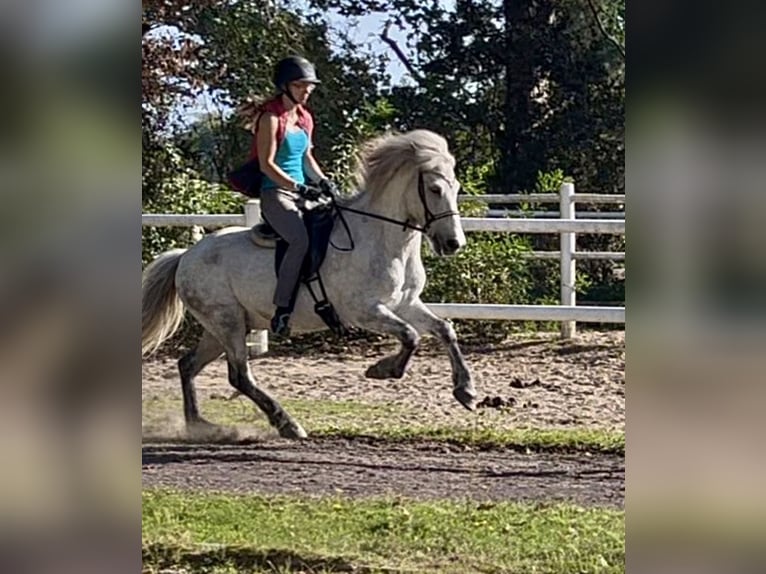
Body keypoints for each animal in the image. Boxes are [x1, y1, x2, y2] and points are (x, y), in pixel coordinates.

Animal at [141, 129, 477, 439]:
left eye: (456, 188)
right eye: (434, 189)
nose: (454, 243)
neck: (381, 238)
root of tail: (186, 256)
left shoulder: (404, 303)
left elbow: (444, 329)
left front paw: (466, 391)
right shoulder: (364, 311)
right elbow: (410, 336)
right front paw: (383, 370)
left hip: (221, 328)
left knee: (188, 365)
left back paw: (199, 424)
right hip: (227, 323)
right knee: (240, 377)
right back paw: (287, 424)